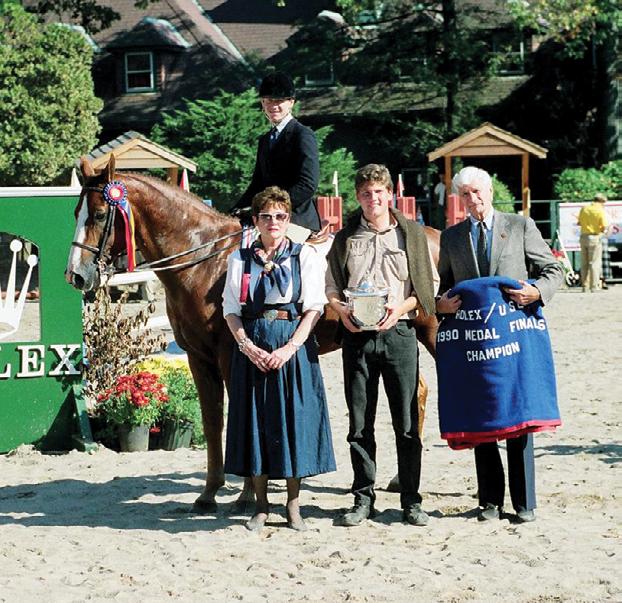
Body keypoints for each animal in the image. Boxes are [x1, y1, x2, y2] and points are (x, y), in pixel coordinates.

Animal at [66, 155, 439, 512]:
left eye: (99, 214)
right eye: (75, 212)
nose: (76, 276)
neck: (204, 260)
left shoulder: (231, 355)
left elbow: (243, 416)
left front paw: (246, 495)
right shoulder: (198, 358)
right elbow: (212, 420)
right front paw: (208, 494)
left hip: (430, 333)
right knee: (417, 390)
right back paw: (398, 480)